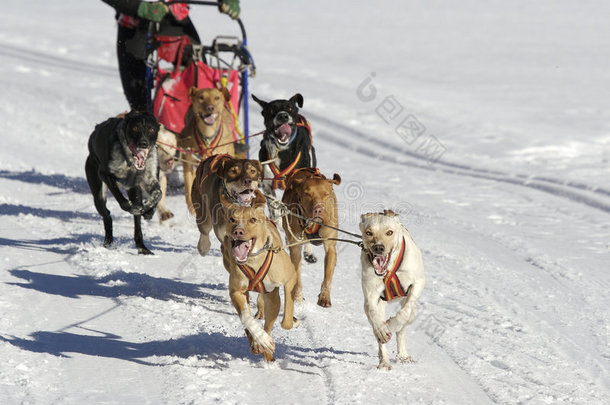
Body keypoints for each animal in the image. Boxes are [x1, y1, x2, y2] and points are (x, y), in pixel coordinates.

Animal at [85, 110, 163, 254]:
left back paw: (142, 247)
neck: (130, 162)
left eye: (151, 129)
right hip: (98, 195)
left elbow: (158, 194)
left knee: (137, 225)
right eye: (135, 128)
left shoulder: (148, 179)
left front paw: (148, 210)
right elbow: (122, 200)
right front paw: (131, 207)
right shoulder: (105, 174)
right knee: (107, 215)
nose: (143, 143)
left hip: (134, 190)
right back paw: (108, 242)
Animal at [220, 191, 298, 362]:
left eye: (252, 220)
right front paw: (260, 339)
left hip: (272, 298)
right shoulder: (236, 291)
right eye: (232, 219)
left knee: (269, 324)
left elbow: (286, 320)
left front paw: (293, 322)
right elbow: (246, 318)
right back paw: (259, 343)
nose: (238, 231)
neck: (254, 261)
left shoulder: (290, 278)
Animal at [282, 167, 340, 306]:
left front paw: (324, 296)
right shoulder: (295, 247)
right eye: (307, 194)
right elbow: (297, 276)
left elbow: (328, 276)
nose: (318, 209)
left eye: (326, 194)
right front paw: (298, 297)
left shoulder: (330, 245)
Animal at [356, 210, 422, 368]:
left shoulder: (418, 283)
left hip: (412, 310)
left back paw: (403, 355)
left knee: (404, 325)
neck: (389, 269)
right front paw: (382, 331)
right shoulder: (371, 293)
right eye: (369, 232)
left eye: (389, 232)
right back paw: (384, 361)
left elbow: (404, 313)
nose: (379, 247)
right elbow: (371, 311)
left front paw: (391, 324)